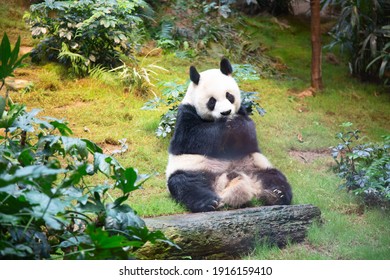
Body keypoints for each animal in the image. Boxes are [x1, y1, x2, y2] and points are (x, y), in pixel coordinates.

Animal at [165, 58, 292, 212]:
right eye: (212, 101)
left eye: (229, 96)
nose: (226, 112)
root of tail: (226, 179)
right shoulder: (186, 113)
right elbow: (191, 138)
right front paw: (226, 125)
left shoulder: (242, 111)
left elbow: (249, 136)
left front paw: (236, 124)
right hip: (193, 169)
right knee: (185, 183)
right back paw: (209, 202)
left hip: (256, 167)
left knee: (275, 178)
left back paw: (275, 195)